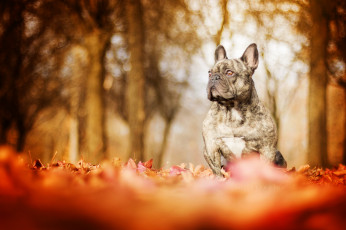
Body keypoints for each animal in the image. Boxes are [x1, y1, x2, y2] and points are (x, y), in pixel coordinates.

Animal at [203, 43, 286, 176]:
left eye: (229, 73)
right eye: (209, 73)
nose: (214, 77)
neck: (232, 110)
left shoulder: (267, 148)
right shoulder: (211, 147)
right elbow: (217, 170)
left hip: (277, 155)